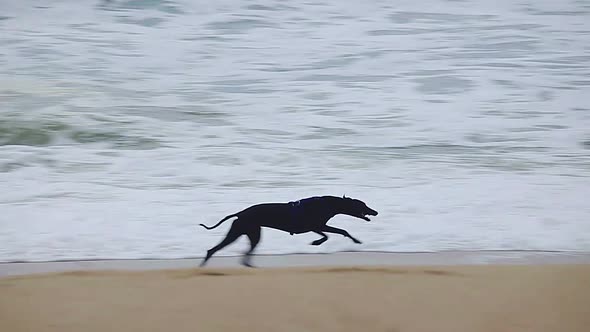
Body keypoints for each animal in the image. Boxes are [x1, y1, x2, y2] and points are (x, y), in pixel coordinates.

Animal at [199, 195, 380, 268]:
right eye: (364, 205)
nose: (375, 212)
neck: (329, 203)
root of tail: (240, 212)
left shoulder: (315, 227)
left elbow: (330, 234)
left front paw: (316, 242)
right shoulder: (317, 226)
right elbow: (340, 231)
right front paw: (356, 241)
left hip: (247, 232)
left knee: (237, 252)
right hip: (243, 232)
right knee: (214, 249)